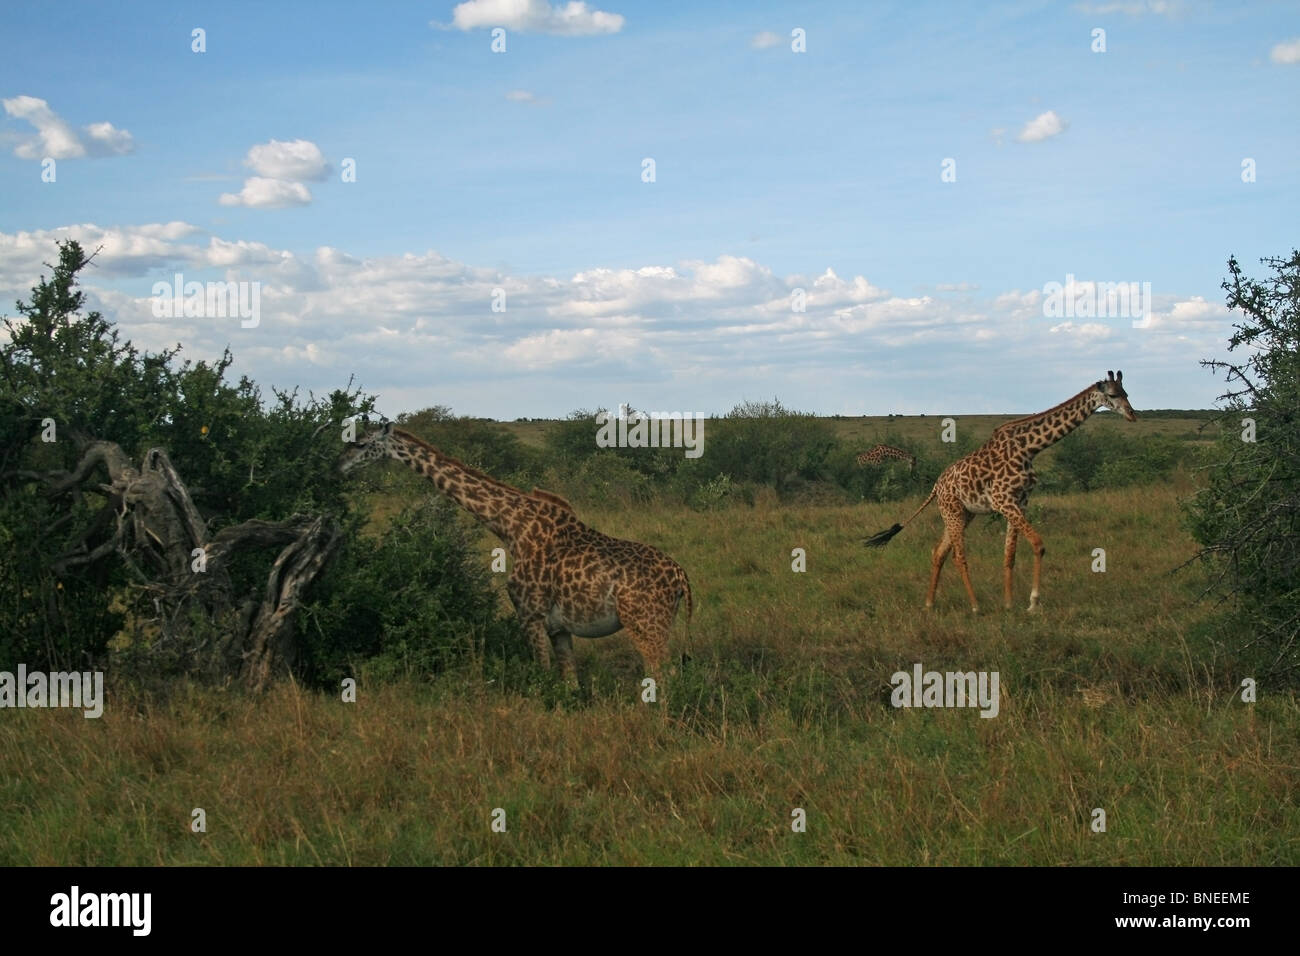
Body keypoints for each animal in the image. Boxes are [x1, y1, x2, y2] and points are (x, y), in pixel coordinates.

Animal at [340, 421, 696, 686]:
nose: (339, 464)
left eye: (360, 443)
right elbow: (569, 682)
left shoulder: (529, 616)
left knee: (664, 676)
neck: (510, 526)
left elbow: (544, 676)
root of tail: (682, 577)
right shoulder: (558, 627)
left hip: (646, 625)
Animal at [863, 371, 1138, 613]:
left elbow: (1010, 555)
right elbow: (1038, 544)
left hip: (963, 513)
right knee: (958, 556)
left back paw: (930, 603)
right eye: (1112, 395)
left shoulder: (1020, 501)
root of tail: (936, 486)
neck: (1030, 448)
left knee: (939, 552)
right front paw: (1033, 603)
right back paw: (975, 606)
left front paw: (1009, 603)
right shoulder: (1003, 501)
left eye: (1127, 392)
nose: (1132, 415)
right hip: (952, 511)